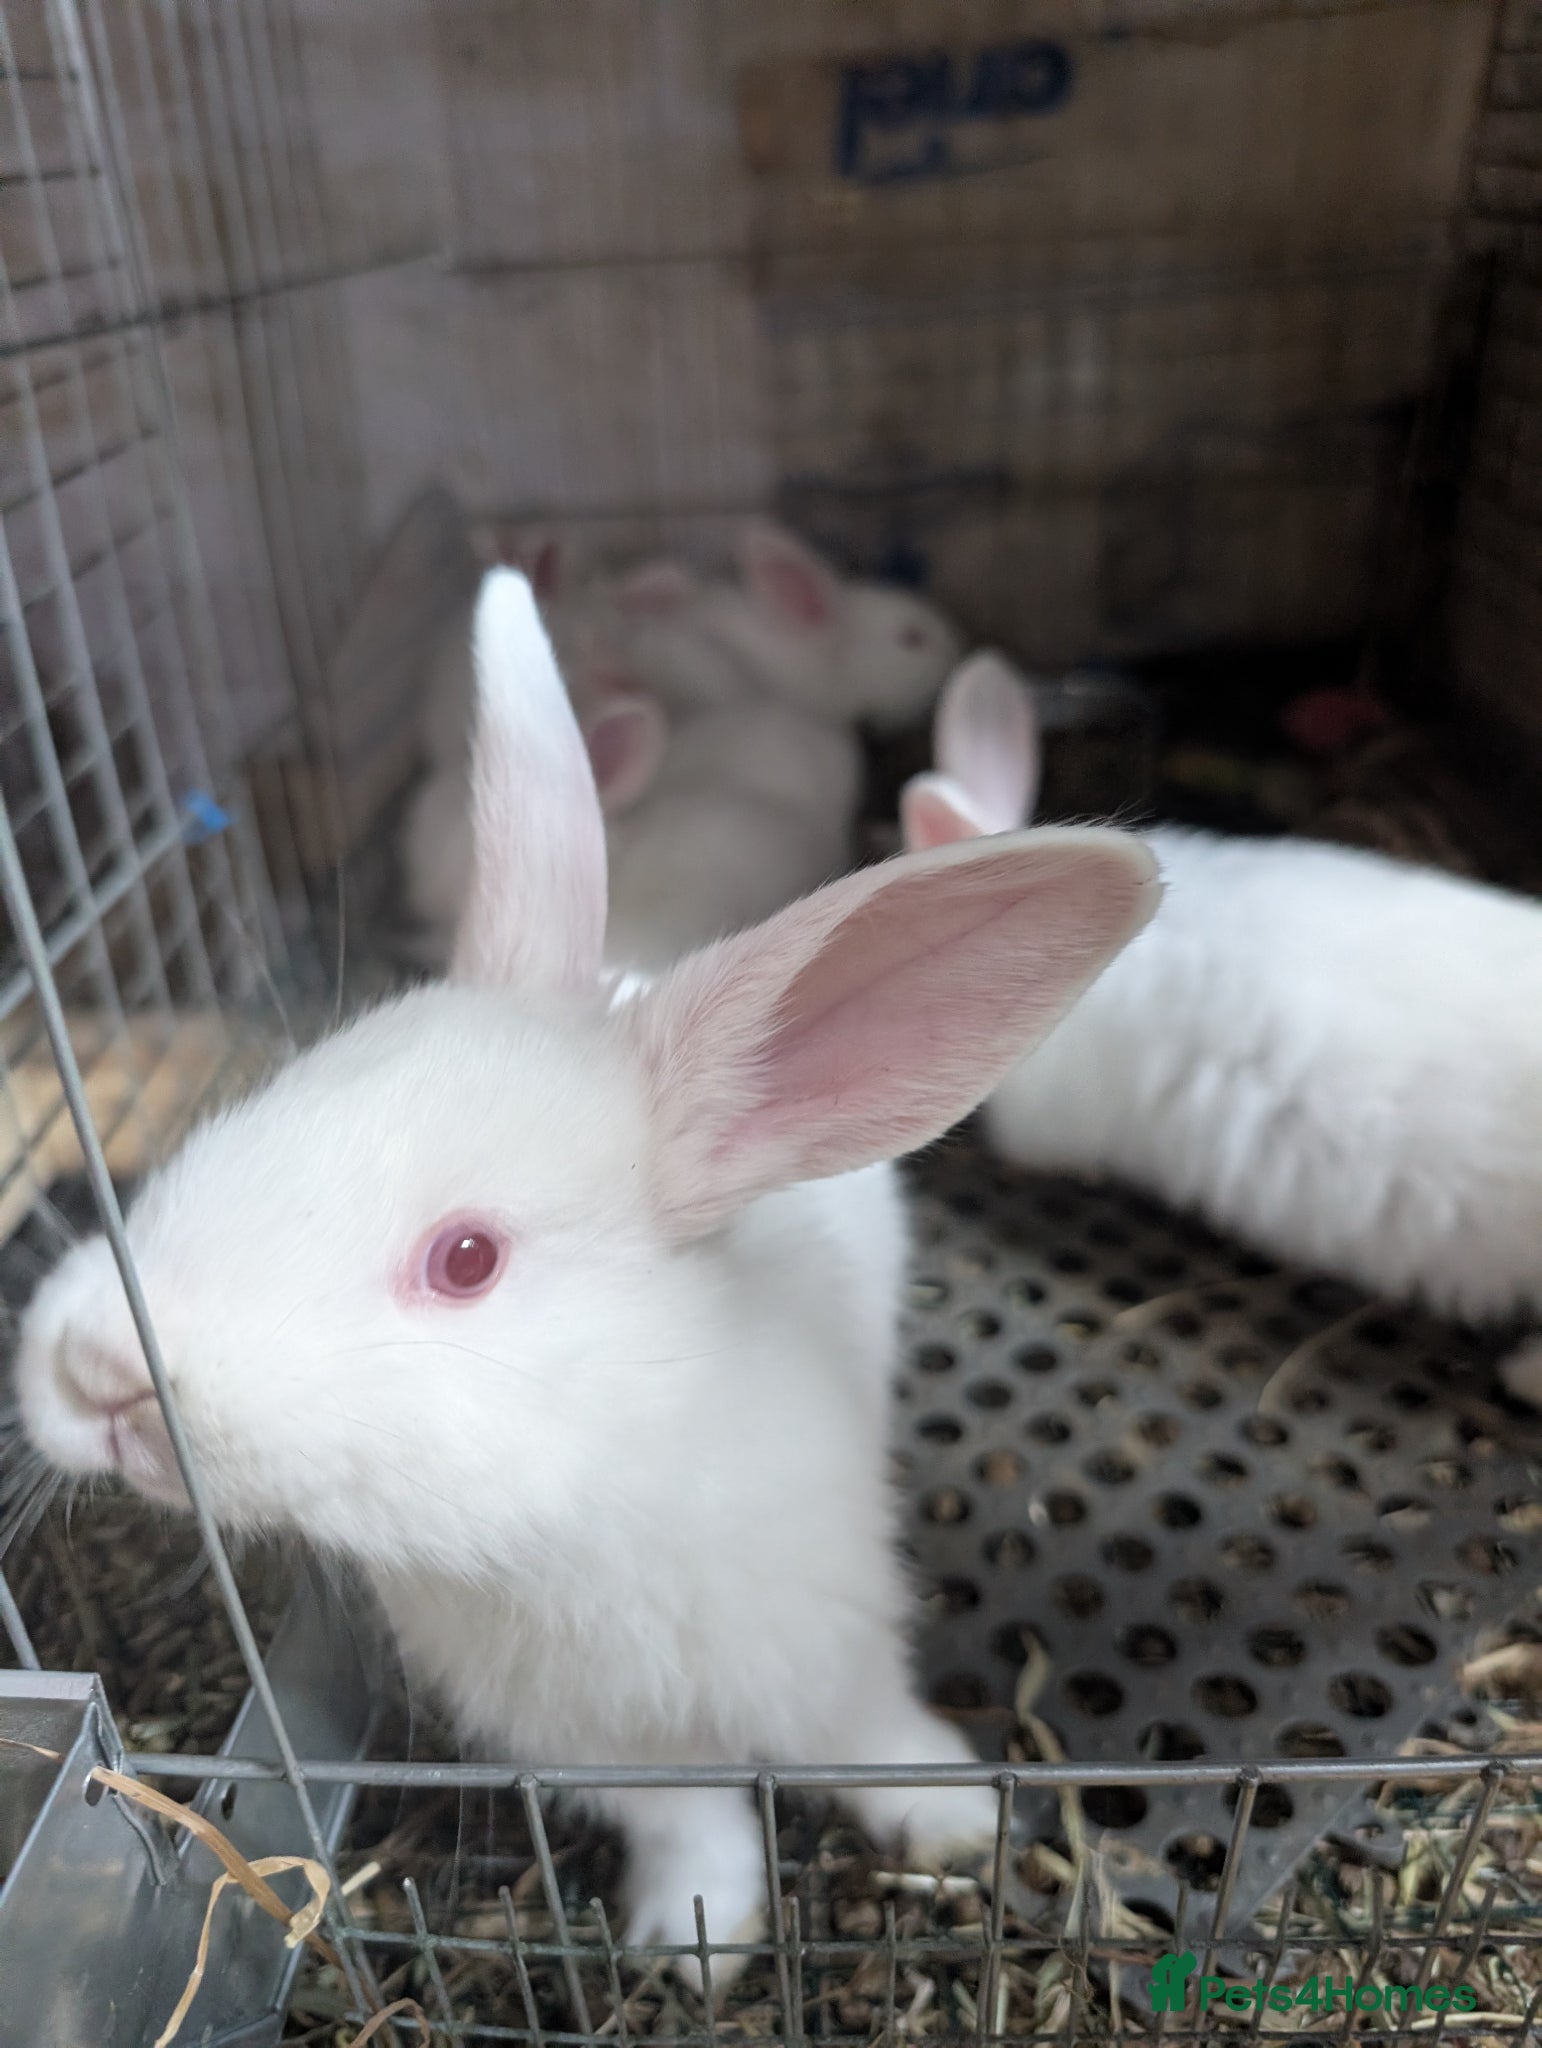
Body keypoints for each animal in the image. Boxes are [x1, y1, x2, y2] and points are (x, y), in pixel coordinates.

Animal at [17, 570, 1159, 1987]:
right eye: (261, 1104)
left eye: (467, 1259)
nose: (94, 1369)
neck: (570, 1519)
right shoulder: (595, 1745)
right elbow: (696, 1824)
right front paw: (693, 1943)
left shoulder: (831, 1647)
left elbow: (872, 1735)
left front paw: (952, 1824)